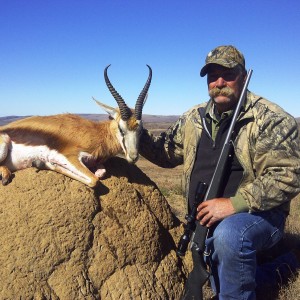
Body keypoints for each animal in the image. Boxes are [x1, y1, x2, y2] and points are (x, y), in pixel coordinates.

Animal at [0, 65, 151, 188]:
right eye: (121, 128)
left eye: (141, 130)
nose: (133, 157)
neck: (97, 134)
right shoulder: (69, 156)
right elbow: (94, 180)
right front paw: (41, 163)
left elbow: (101, 173)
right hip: (4, 144)